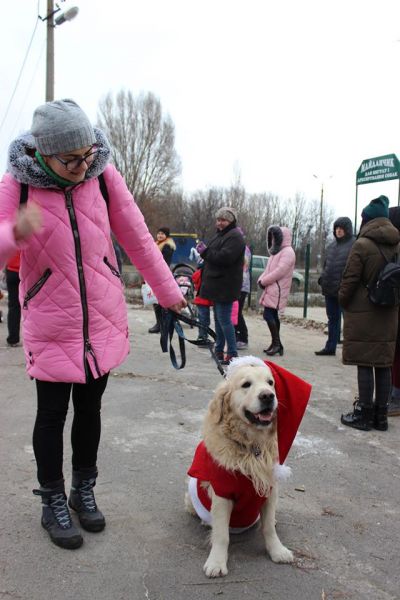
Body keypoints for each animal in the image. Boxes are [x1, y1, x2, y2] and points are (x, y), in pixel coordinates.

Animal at [187, 356, 294, 576]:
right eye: (246, 385)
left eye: (271, 383)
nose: (268, 396)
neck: (252, 447)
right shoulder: (222, 493)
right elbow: (221, 535)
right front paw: (217, 562)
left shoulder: (270, 489)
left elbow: (269, 528)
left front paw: (277, 551)